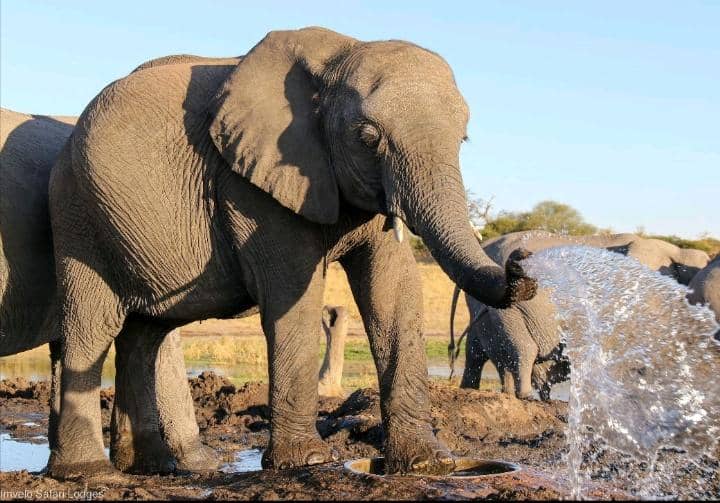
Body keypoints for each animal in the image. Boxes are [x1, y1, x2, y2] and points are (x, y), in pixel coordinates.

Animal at [46, 27, 538, 477]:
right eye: (368, 136)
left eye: (463, 138)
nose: (521, 262)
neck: (339, 55)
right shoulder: (249, 183)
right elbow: (293, 294)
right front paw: (308, 462)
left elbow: (392, 290)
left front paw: (426, 463)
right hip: (78, 213)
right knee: (93, 328)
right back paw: (87, 472)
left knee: (144, 334)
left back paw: (152, 467)